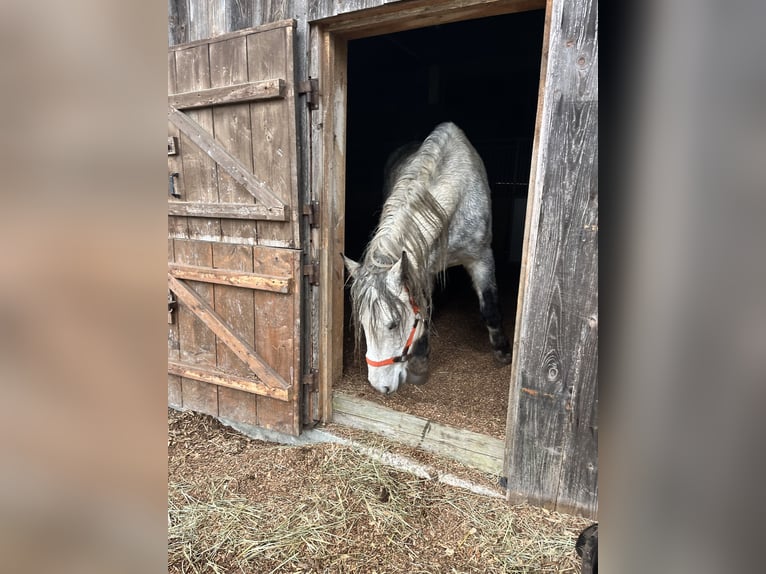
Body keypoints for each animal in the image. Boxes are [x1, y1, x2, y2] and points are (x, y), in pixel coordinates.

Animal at [342, 122, 510, 398]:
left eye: (393, 324)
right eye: (363, 324)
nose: (380, 386)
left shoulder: (481, 257)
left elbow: (490, 309)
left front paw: (503, 352)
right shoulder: (422, 268)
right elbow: (424, 311)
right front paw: (420, 364)